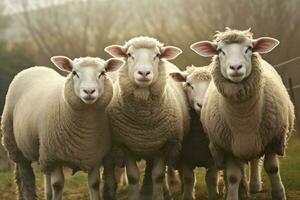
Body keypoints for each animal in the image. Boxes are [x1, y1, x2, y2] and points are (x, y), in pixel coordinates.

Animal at [0, 56, 124, 200]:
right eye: (74, 73)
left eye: (102, 73)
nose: (89, 91)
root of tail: (34, 68)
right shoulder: (54, 157)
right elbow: (58, 185)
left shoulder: (94, 157)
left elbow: (94, 184)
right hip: (15, 144)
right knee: (24, 177)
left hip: (42, 150)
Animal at [105, 36, 190, 200]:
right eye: (129, 55)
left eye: (157, 55)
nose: (144, 73)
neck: (143, 123)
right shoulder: (126, 146)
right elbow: (133, 177)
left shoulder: (163, 146)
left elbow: (157, 175)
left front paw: (158, 195)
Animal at [191, 28, 294, 200]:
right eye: (220, 50)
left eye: (249, 48)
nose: (236, 67)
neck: (243, 119)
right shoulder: (227, 147)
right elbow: (233, 177)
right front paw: (233, 194)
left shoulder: (272, 140)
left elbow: (272, 169)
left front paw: (279, 194)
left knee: (255, 161)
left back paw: (255, 186)